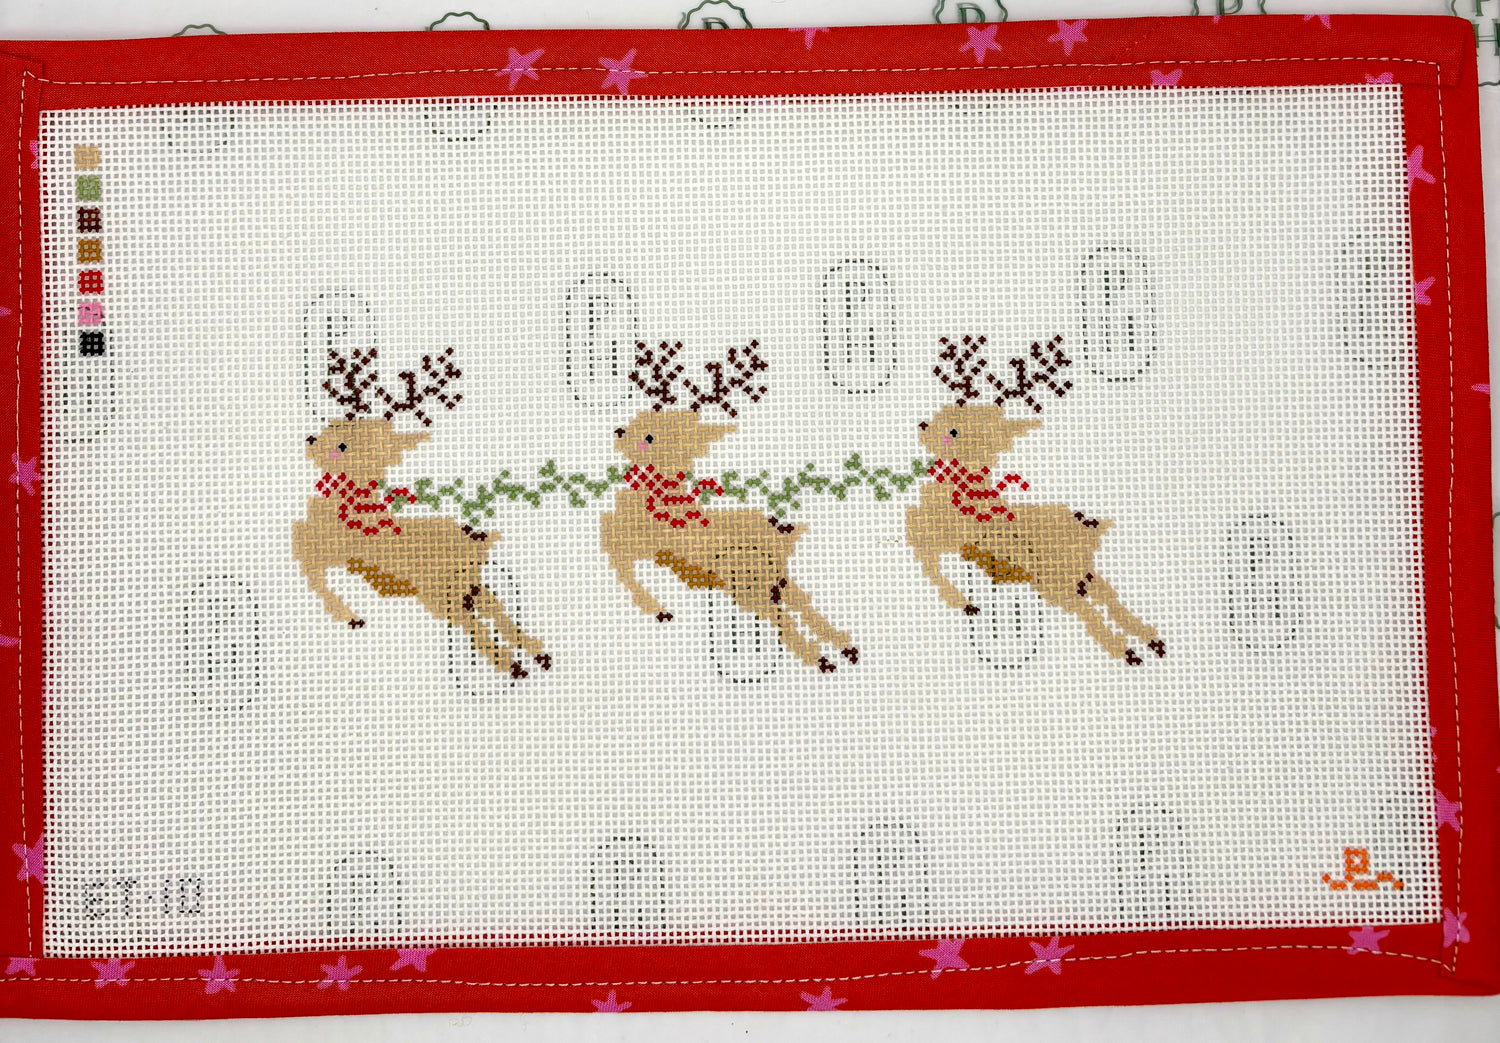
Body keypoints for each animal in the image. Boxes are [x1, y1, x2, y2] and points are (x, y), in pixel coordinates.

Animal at [291, 343, 550, 679]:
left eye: (343, 444)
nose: (310, 441)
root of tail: (476, 542)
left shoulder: (330, 548)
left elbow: (306, 557)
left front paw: (347, 614)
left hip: (442, 593)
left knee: (474, 625)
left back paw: (510, 663)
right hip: (468, 586)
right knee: (496, 611)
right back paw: (534, 653)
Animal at [599, 340, 859, 673]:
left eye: (650, 436)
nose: (618, 431)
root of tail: (782, 535)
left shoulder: (639, 542)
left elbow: (618, 557)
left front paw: (655, 606)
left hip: (747, 584)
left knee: (781, 618)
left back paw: (816, 656)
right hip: (773, 579)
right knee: (800, 604)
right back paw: (840, 644)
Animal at [905, 334, 1164, 665]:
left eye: (954, 430)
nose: (923, 425)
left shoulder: (944, 534)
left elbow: (923, 548)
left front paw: (957, 598)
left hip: (1058, 582)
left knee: (1091, 612)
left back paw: (1126, 648)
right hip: (1077, 576)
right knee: (1106, 600)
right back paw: (1145, 638)